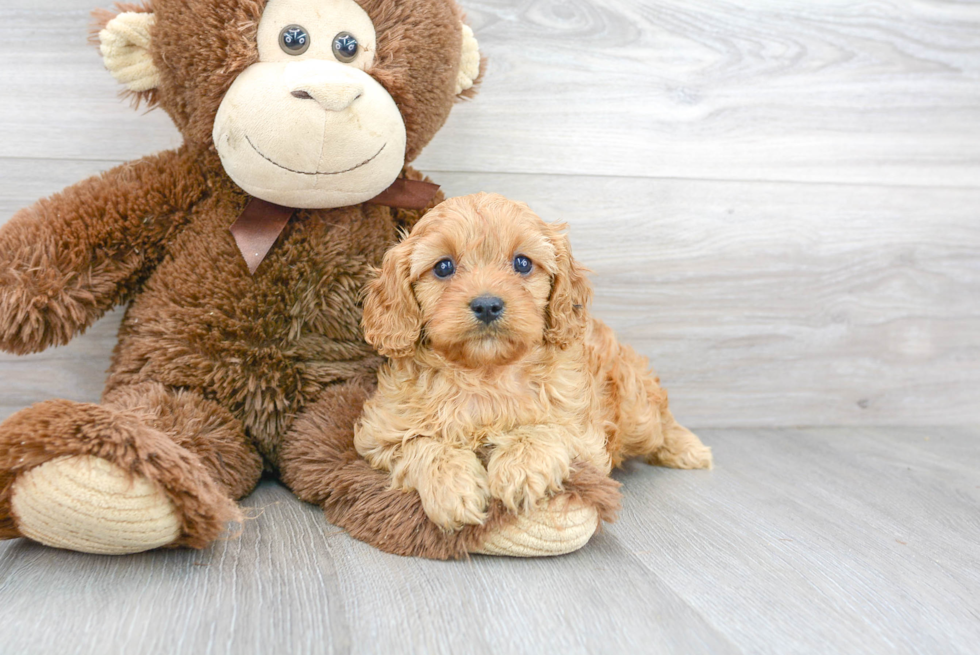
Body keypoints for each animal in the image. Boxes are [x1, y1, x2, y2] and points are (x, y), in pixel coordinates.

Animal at [356, 192, 708, 532]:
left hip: (636, 406)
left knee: (660, 420)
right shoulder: (380, 434)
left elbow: (544, 428)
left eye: (522, 263)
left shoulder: (584, 434)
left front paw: (520, 469)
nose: (487, 305)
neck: (486, 373)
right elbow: (422, 444)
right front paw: (453, 489)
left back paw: (689, 449)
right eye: (443, 267)